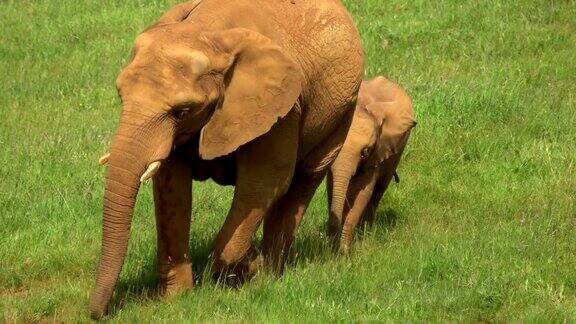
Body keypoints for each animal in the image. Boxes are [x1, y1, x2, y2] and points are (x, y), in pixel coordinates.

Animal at [89, 0, 360, 318]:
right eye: (120, 95)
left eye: (182, 111)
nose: (98, 313)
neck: (206, 35)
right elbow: (171, 189)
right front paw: (176, 299)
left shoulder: (281, 108)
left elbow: (262, 186)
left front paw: (248, 267)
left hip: (342, 111)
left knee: (304, 178)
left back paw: (270, 272)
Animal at [326, 76, 416, 253]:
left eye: (365, 152)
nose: (330, 233)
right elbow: (332, 187)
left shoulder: (378, 150)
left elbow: (364, 192)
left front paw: (344, 250)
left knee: (379, 190)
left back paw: (366, 232)